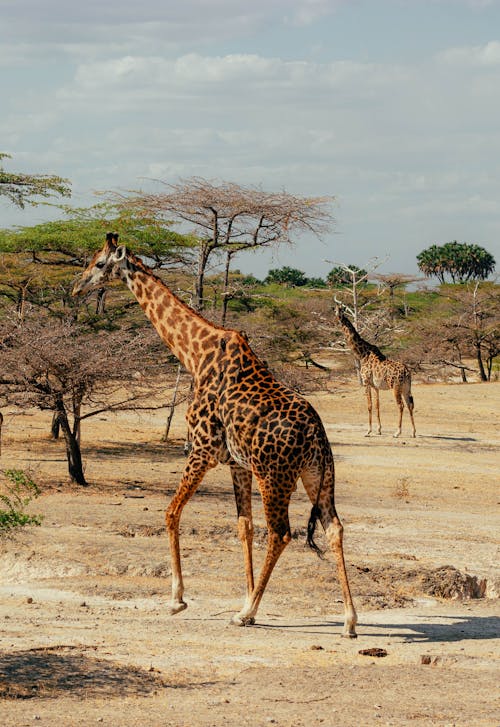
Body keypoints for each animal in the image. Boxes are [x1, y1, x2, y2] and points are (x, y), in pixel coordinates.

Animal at [72, 233, 358, 636]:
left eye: (99, 263)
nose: (76, 286)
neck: (194, 354)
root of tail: (315, 433)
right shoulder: (236, 464)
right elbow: (244, 527)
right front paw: (246, 598)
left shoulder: (202, 450)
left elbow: (171, 513)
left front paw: (178, 600)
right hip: (318, 473)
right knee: (333, 527)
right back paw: (348, 620)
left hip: (275, 475)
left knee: (281, 532)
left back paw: (247, 612)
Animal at [336, 302, 418, 438]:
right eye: (335, 310)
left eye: (342, 310)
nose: (339, 316)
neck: (362, 354)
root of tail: (407, 372)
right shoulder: (375, 386)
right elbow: (377, 405)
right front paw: (379, 430)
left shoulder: (366, 381)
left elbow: (369, 405)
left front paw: (368, 431)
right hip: (406, 387)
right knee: (410, 404)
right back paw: (413, 432)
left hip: (396, 387)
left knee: (401, 405)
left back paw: (397, 432)